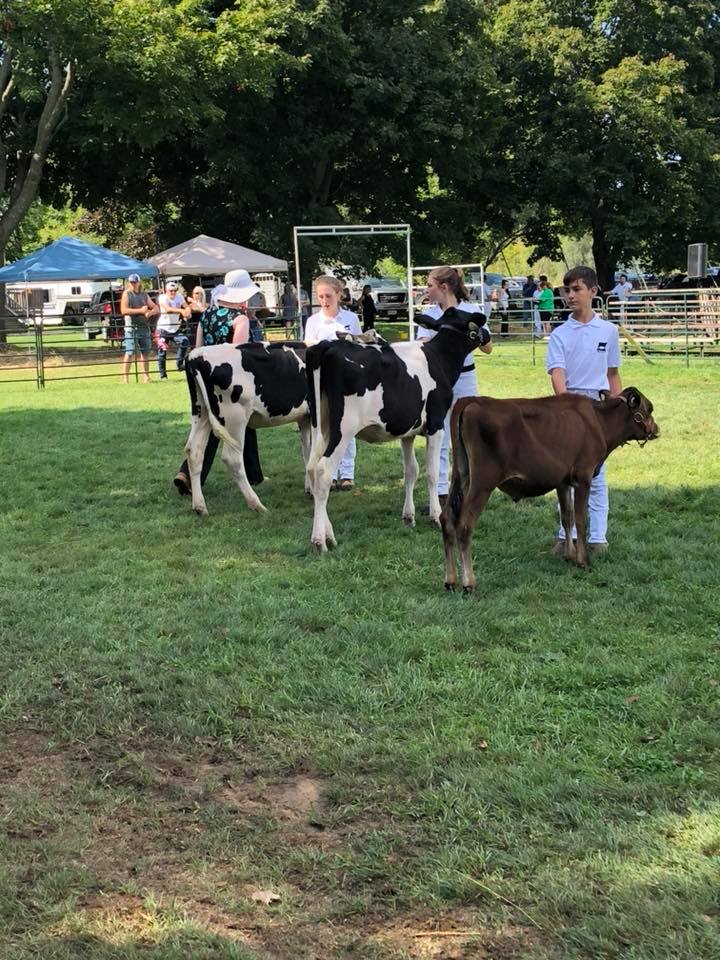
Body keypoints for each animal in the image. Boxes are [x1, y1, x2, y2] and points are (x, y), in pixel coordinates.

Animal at [184, 342, 308, 512]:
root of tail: (195, 355)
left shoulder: (306, 418)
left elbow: (308, 451)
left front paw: (310, 488)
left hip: (201, 412)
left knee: (194, 451)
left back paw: (200, 507)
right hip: (235, 418)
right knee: (232, 458)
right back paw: (257, 504)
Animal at [304, 308, 490, 548]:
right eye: (473, 322)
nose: (487, 336)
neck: (439, 359)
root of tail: (325, 346)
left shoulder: (407, 432)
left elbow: (411, 471)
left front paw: (408, 516)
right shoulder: (436, 425)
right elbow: (431, 472)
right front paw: (435, 517)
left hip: (321, 424)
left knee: (311, 467)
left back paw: (327, 533)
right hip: (343, 429)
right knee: (322, 471)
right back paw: (320, 540)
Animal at [438, 386, 660, 588]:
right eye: (649, 408)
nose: (656, 429)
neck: (598, 421)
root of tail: (470, 401)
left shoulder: (562, 481)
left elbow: (567, 517)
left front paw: (570, 555)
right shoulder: (583, 477)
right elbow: (581, 520)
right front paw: (583, 561)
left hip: (461, 476)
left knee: (447, 518)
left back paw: (450, 581)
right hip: (483, 482)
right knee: (464, 525)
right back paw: (469, 583)